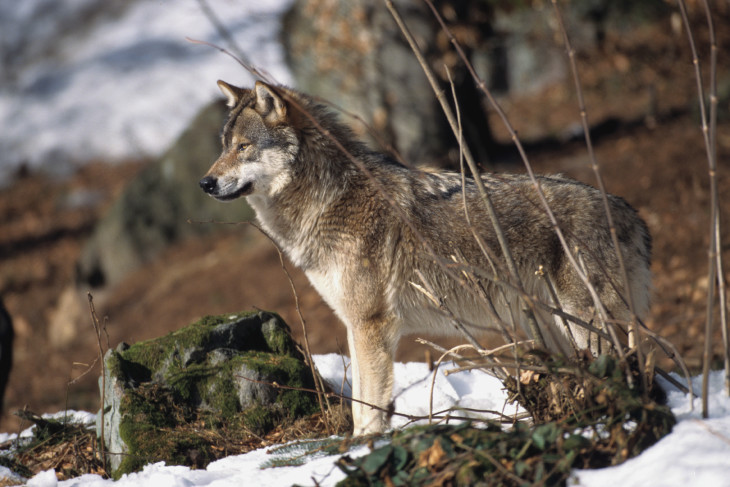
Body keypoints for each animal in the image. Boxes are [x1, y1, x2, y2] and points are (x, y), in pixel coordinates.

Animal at [198, 82, 648, 436]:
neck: (330, 200)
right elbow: (361, 399)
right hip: (552, 329)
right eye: (223, 147)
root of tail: (633, 213)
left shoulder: (373, 324)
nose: (205, 183)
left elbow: (368, 405)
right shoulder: (354, 325)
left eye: (243, 147)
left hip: (585, 325)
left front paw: (364, 444)